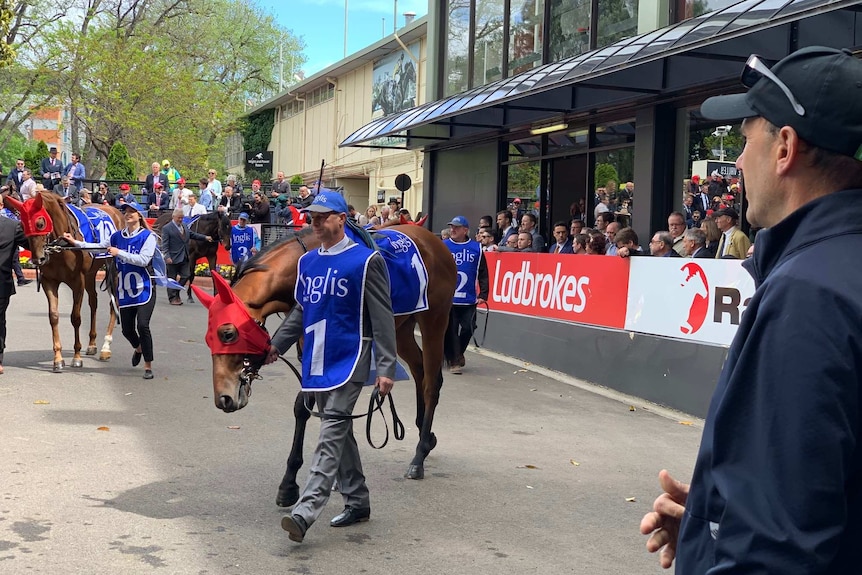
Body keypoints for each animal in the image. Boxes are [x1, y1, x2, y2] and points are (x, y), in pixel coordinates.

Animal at [4, 192, 123, 374]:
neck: (62, 247)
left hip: (114, 269)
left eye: (40, 223)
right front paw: (58, 359)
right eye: (22, 226)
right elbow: (53, 316)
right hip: (91, 273)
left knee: (113, 303)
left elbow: (76, 318)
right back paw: (92, 344)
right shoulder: (49, 281)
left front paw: (77, 357)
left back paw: (105, 348)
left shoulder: (78, 282)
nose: (37, 259)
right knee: (93, 301)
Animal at [196, 225, 460, 508]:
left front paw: (290, 483)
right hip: (399, 328)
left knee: (431, 383)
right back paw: (426, 435)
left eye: (227, 334)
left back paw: (419, 457)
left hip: (434, 319)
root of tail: (436, 241)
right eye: (209, 338)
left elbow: (315, 405)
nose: (223, 399)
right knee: (419, 370)